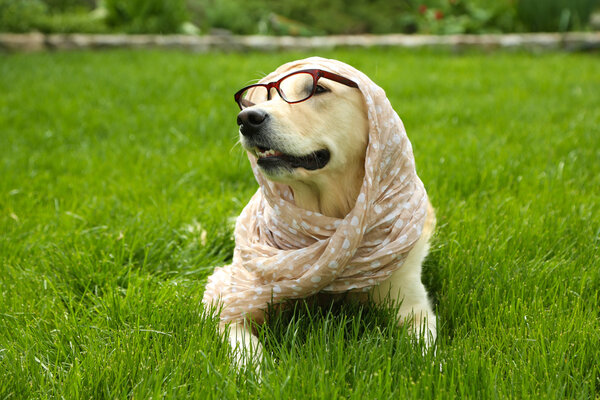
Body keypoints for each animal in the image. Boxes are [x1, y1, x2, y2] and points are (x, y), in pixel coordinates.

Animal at [205, 57, 436, 368]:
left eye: (317, 89)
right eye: (264, 96)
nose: (246, 119)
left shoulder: (414, 306)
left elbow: (424, 351)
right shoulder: (237, 301)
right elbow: (243, 345)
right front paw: (257, 371)